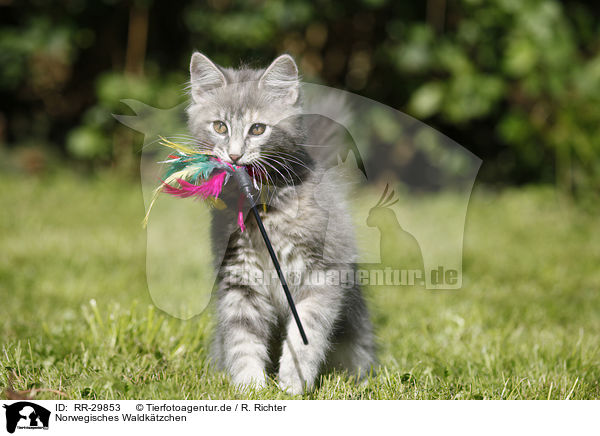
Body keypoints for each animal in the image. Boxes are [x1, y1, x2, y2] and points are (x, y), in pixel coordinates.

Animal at [188, 52, 376, 394]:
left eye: (258, 129)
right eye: (220, 127)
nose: (234, 156)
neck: (264, 210)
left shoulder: (323, 274)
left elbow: (306, 337)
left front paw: (293, 385)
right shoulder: (239, 278)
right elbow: (243, 339)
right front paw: (250, 387)